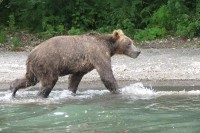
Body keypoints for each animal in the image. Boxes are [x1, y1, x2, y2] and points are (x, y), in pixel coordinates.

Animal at [9, 29, 141, 97]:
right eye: (129, 43)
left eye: (132, 42)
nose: (138, 51)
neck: (108, 46)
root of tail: (31, 54)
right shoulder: (97, 52)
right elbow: (106, 74)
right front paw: (120, 90)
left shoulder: (81, 65)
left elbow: (75, 78)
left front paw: (71, 91)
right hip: (47, 63)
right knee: (48, 81)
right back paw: (41, 95)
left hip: (34, 67)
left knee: (30, 79)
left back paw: (13, 88)